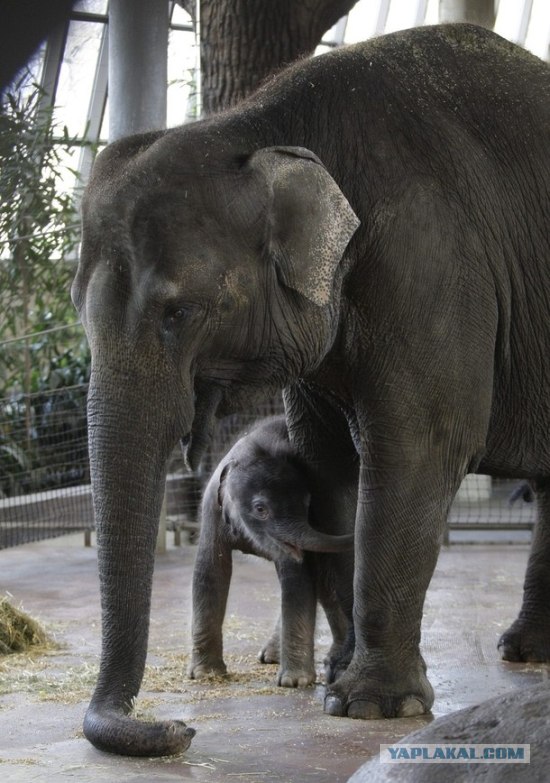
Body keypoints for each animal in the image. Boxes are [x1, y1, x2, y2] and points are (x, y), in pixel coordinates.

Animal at [189, 414, 355, 688]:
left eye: (308, 504)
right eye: (260, 509)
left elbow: (296, 577)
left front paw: (294, 683)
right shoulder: (212, 507)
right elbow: (210, 572)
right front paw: (205, 675)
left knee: (324, 582)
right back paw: (273, 657)